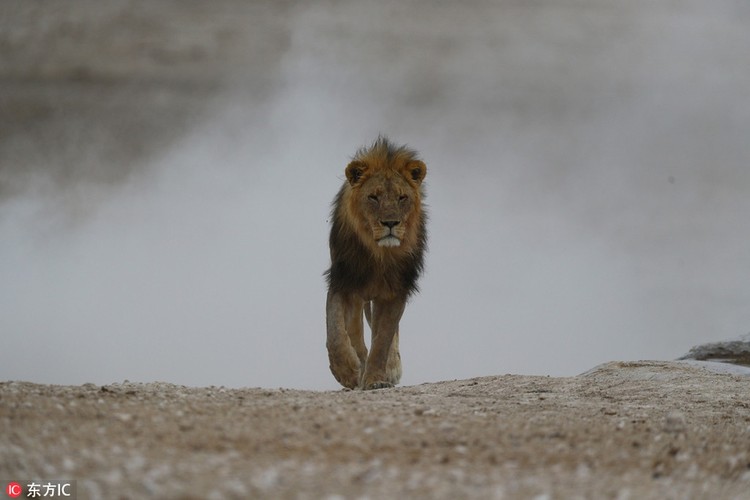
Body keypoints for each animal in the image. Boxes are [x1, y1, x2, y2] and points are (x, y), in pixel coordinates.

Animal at [324, 137, 428, 390]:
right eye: (373, 197)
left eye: (402, 197)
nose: (390, 223)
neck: (379, 253)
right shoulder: (343, 281)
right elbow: (335, 332)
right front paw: (347, 372)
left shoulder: (396, 291)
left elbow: (383, 339)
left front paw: (376, 378)